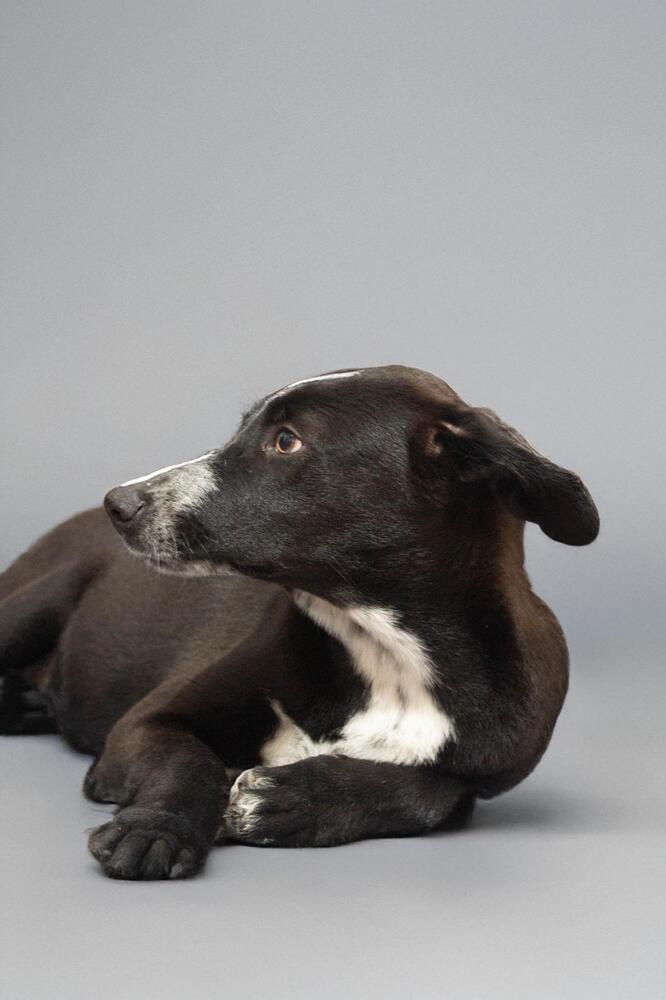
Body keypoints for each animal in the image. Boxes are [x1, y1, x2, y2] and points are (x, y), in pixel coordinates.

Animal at [0, 364, 600, 880]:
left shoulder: (484, 772)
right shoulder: (143, 725)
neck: (384, 653)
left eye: (286, 440)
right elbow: (187, 762)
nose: (118, 503)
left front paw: (291, 799)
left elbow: (431, 792)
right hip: (39, 600)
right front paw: (157, 830)